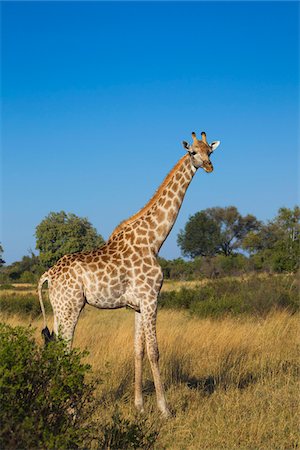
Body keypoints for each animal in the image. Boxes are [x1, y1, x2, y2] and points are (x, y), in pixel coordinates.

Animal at [38, 129, 220, 414]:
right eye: (193, 152)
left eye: (210, 151)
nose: (210, 166)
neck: (154, 240)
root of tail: (47, 275)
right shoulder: (151, 298)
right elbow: (155, 351)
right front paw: (165, 409)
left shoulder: (137, 305)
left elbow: (138, 351)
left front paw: (139, 406)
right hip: (71, 306)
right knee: (65, 350)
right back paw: (70, 410)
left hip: (58, 308)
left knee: (56, 347)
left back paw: (56, 404)